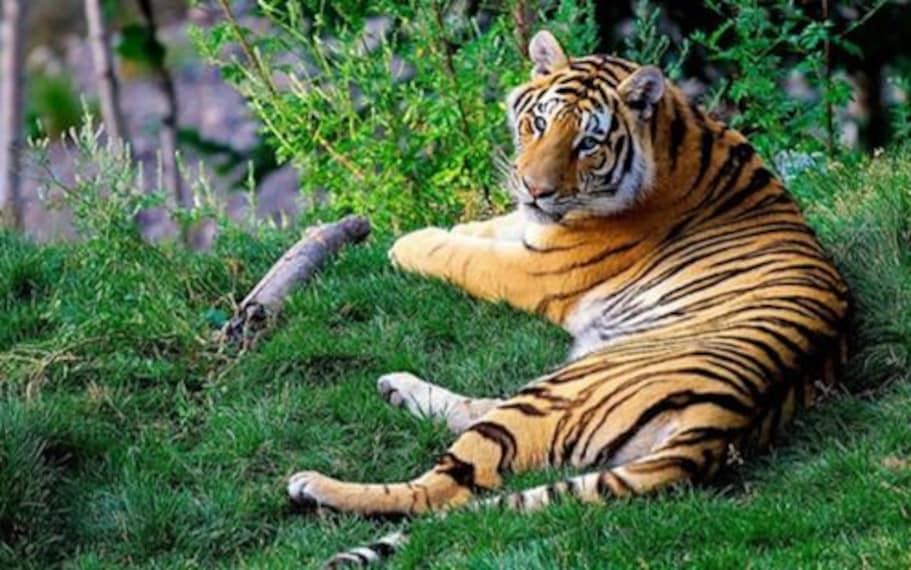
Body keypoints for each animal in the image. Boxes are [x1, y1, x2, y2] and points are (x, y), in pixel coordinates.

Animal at [287, 30, 850, 568]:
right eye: (538, 124)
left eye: (588, 144)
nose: (536, 189)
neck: (674, 135)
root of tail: (723, 425)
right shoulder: (533, 230)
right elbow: (489, 228)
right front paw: (454, 226)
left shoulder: (536, 269)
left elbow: (463, 256)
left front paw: (408, 242)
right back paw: (397, 388)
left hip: (558, 391)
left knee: (442, 490)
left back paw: (313, 484)